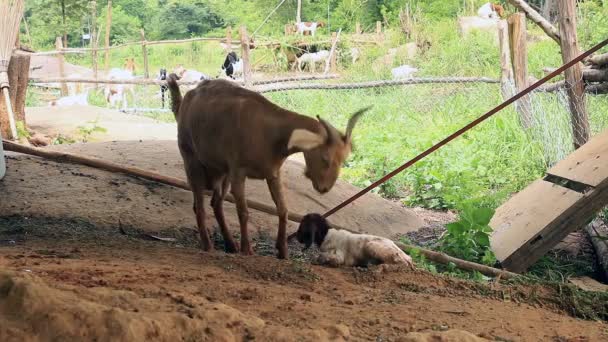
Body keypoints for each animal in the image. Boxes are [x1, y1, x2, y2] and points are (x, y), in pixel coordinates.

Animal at [164, 74, 368, 256]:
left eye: (344, 159)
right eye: (325, 157)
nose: (324, 188)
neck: (269, 132)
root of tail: (186, 100)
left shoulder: (272, 174)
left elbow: (283, 210)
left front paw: (283, 251)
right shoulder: (238, 172)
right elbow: (243, 211)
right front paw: (247, 249)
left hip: (222, 172)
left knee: (216, 203)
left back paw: (230, 245)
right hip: (192, 161)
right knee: (199, 205)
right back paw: (208, 245)